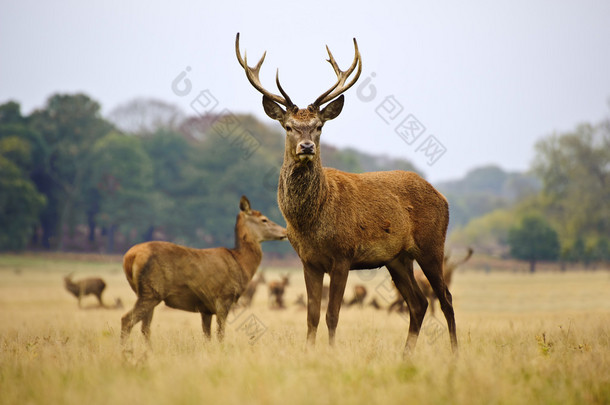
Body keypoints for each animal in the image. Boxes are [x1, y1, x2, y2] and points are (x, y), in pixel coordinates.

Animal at [122, 196, 288, 344]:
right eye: (264, 219)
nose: (285, 231)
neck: (241, 263)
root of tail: (129, 257)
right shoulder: (224, 297)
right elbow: (220, 334)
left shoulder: (205, 308)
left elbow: (207, 336)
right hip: (151, 290)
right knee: (127, 320)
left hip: (144, 292)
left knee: (145, 327)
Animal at [238, 32, 456, 354]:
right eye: (289, 126)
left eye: (318, 126)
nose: (306, 147)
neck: (311, 221)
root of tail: (442, 197)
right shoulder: (308, 261)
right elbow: (312, 315)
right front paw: (309, 352)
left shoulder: (343, 256)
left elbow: (332, 314)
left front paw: (330, 353)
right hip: (397, 258)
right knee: (418, 303)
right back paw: (405, 355)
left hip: (432, 244)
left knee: (445, 299)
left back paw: (455, 354)